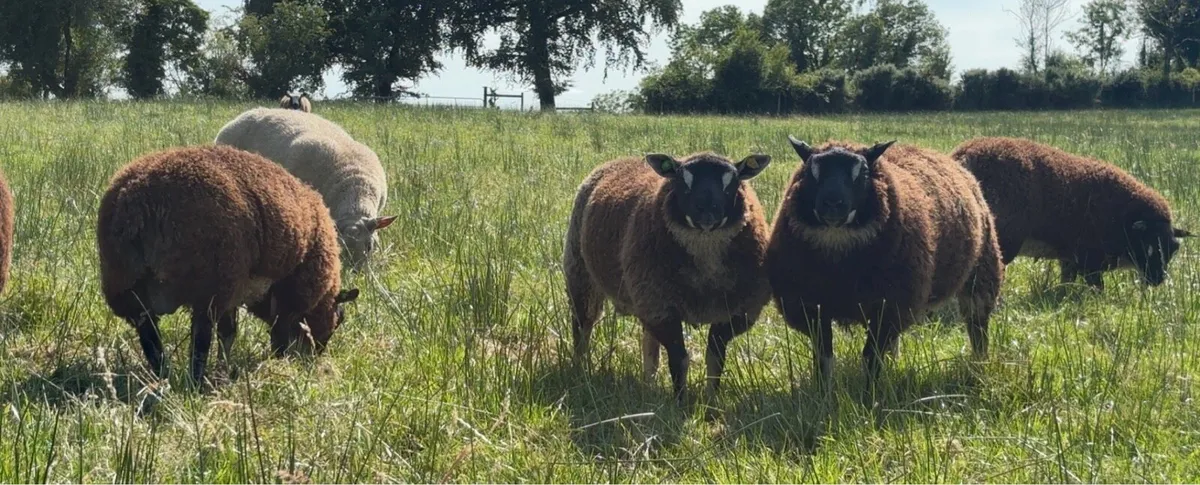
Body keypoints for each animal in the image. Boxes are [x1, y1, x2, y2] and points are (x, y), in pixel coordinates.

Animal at [97, 145, 360, 385]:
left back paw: (164, 377)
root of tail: (139, 202)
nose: (312, 360)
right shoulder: (288, 296)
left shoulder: (236, 291)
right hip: (209, 283)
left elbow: (229, 333)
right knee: (200, 341)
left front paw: (223, 370)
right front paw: (277, 364)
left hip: (126, 286)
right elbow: (274, 337)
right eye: (338, 320)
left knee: (151, 340)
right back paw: (195, 382)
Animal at [564, 151, 773, 399]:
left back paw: (649, 385)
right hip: (581, 273)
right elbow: (680, 360)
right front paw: (680, 401)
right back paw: (579, 372)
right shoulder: (662, 310)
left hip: (642, 298)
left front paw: (710, 401)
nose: (707, 213)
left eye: (731, 182)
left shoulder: (738, 313)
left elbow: (715, 359)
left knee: (648, 345)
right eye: (682, 181)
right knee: (582, 326)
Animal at [767, 137, 1004, 386]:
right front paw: (823, 391)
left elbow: (871, 358)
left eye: (862, 173)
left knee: (977, 326)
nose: (832, 204)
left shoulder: (889, 307)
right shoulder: (810, 308)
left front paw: (869, 392)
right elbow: (823, 358)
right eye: (812, 172)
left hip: (982, 271)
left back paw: (979, 365)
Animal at [952, 136, 1192, 290]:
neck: (1124, 216)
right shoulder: (1089, 260)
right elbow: (1097, 287)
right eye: (1148, 243)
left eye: (1174, 248)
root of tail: (964, 156)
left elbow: (1066, 282)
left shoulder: (1069, 258)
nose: (1157, 281)